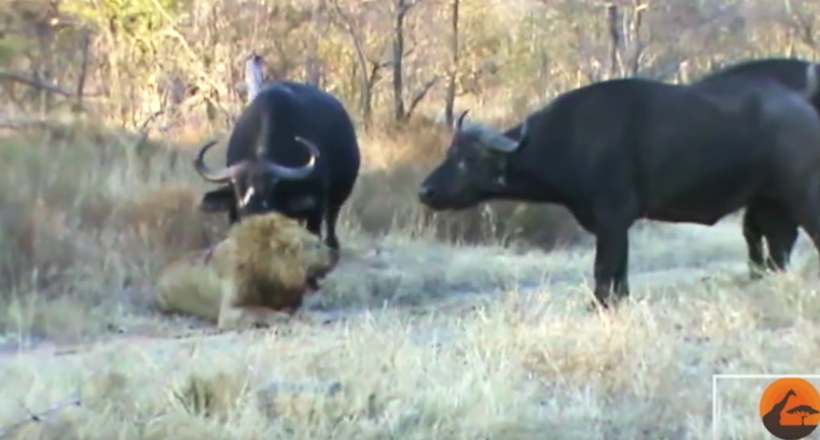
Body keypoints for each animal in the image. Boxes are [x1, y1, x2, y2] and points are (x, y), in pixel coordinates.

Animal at [155, 213, 338, 330]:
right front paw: (281, 316)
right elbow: (258, 310)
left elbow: (303, 310)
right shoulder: (228, 313)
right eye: (317, 245)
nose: (335, 255)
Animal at [195, 81, 362, 253]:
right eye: (238, 190)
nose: (253, 215)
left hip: (338, 198)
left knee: (331, 223)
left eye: (270, 190)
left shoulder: (316, 210)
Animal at [420, 69, 820, 310]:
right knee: (777, 248)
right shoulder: (617, 225)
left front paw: (596, 305)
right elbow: (620, 272)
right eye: (449, 153)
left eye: (468, 158)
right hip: (770, 205)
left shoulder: (612, 218)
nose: (425, 191)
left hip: (802, 198)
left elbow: (603, 269)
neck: (572, 138)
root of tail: (803, 109)